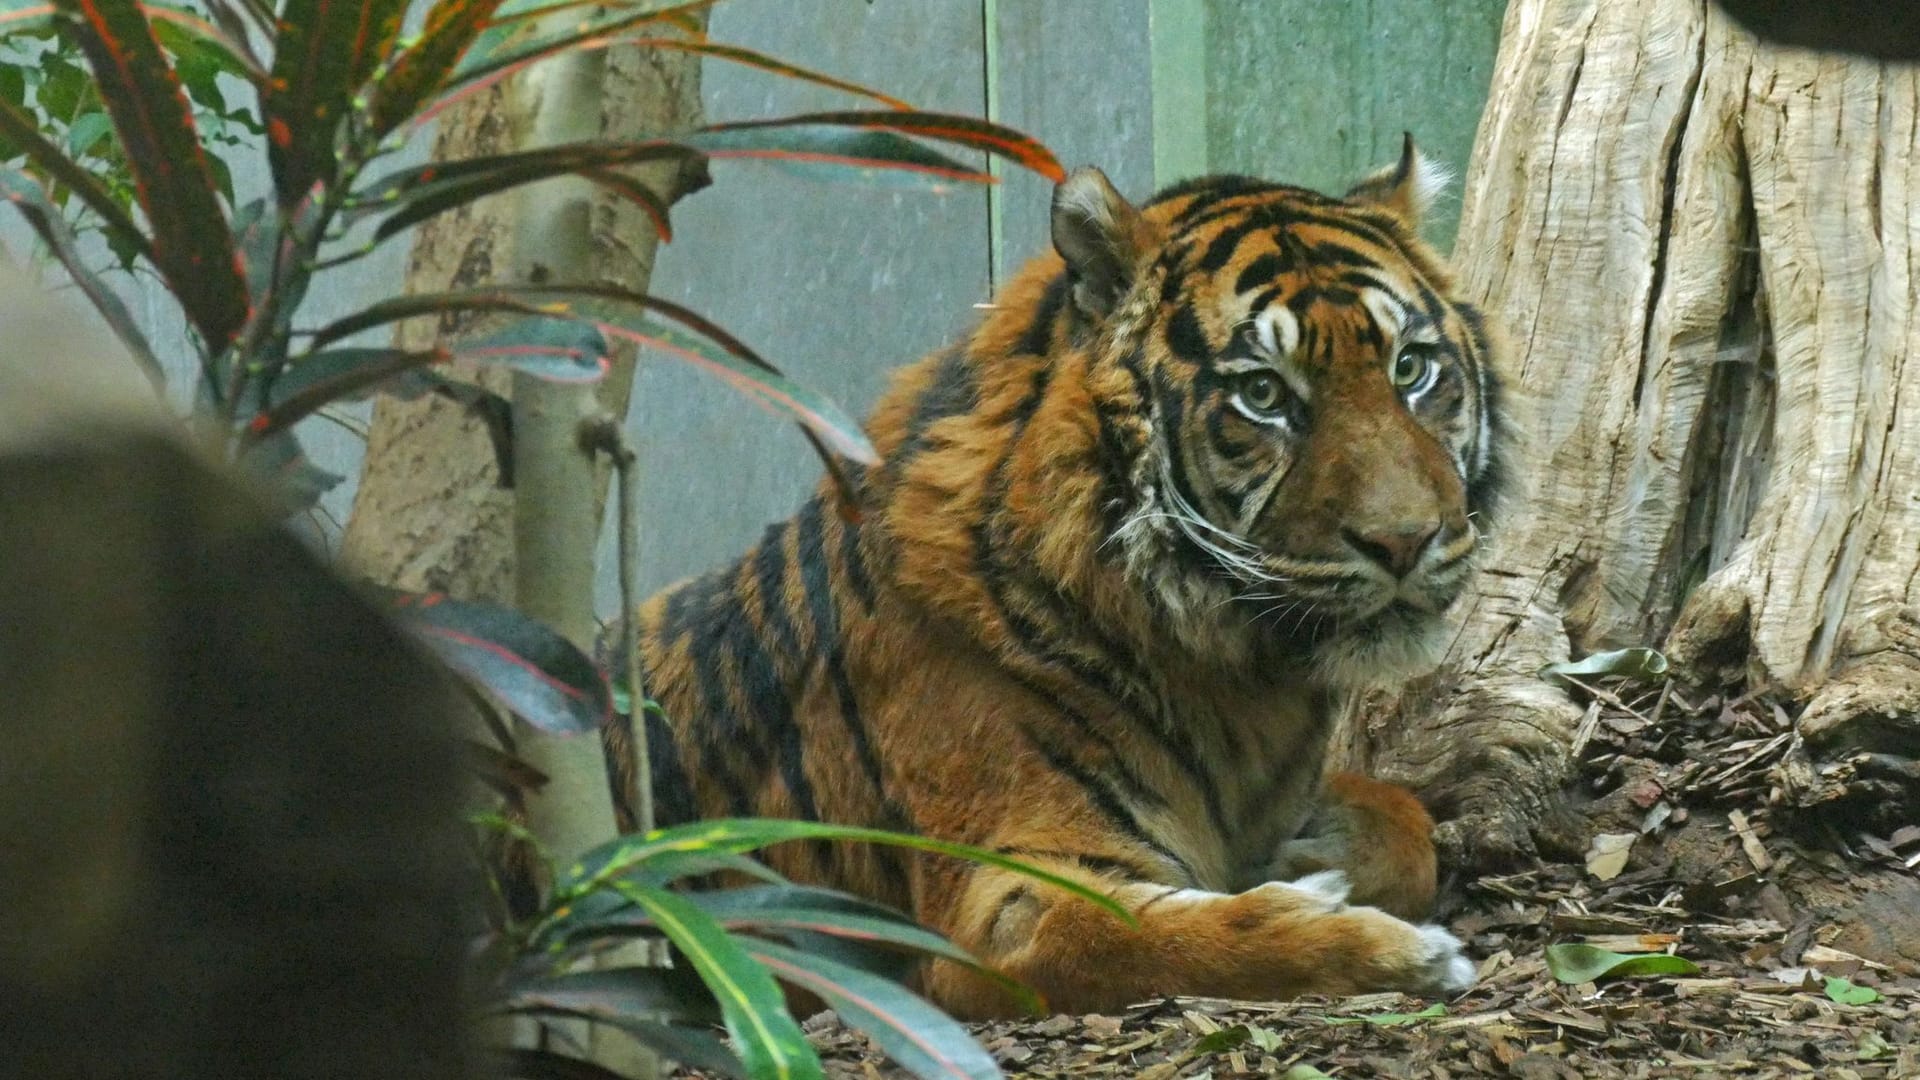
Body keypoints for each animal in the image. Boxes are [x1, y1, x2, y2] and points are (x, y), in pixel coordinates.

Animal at [614, 136, 1497, 1014]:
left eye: (1411, 369)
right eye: (1262, 393)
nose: (1404, 541)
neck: (1234, 674)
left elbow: (1409, 824)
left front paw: (1318, 852)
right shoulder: (1003, 904)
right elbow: (1177, 940)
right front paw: (1403, 951)